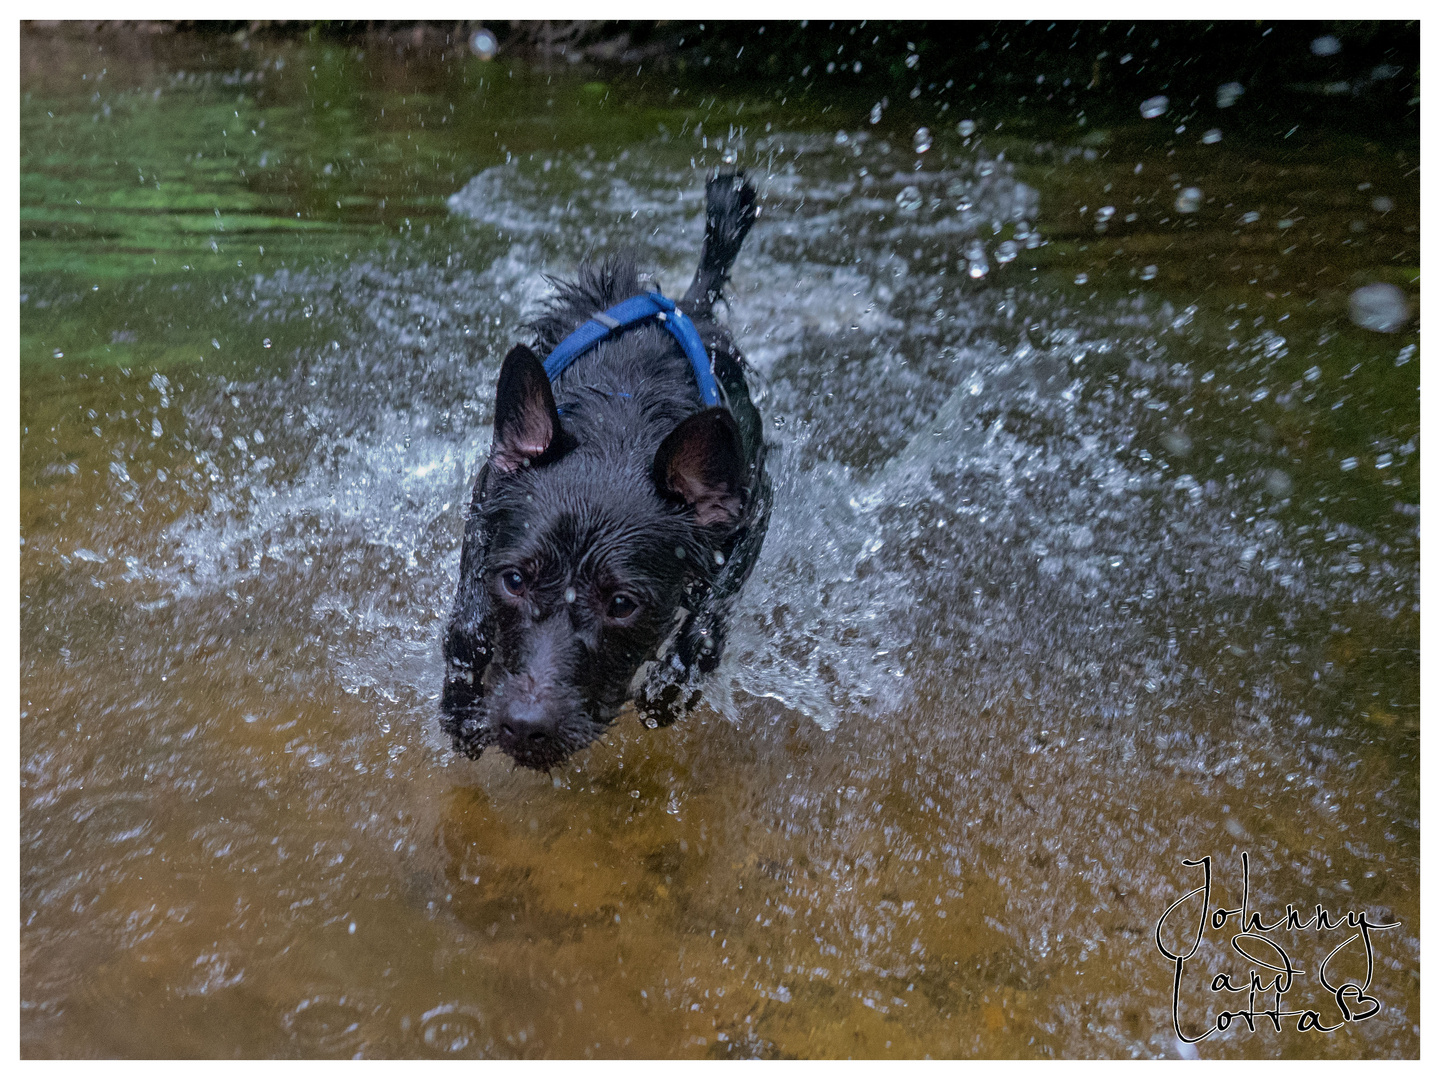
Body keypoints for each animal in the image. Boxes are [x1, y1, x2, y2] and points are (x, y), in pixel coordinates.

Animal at [437, 171, 771, 771]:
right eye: (515, 580)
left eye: (621, 604)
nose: (524, 725)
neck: (621, 424)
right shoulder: (486, 500)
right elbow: (468, 624)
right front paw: (461, 705)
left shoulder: (752, 509)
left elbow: (710, 619)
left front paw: (672, 687)